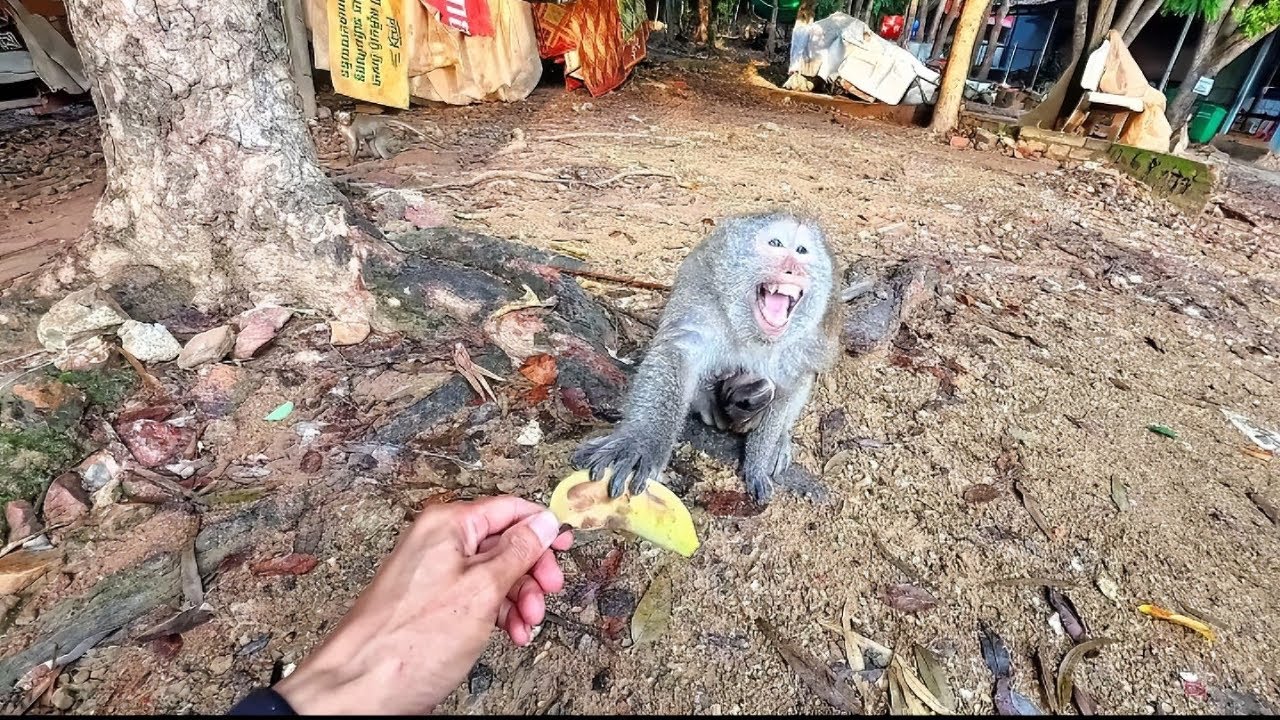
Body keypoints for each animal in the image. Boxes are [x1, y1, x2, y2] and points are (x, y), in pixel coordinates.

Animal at [572, 211, 842, 505]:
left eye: (802, 251)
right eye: (776, 243)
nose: (793, 268)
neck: (754, 333)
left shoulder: (804, 343)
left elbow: (790, 385)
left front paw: (758, 461)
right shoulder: (702, 297)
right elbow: (678, 351)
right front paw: (642, 440)